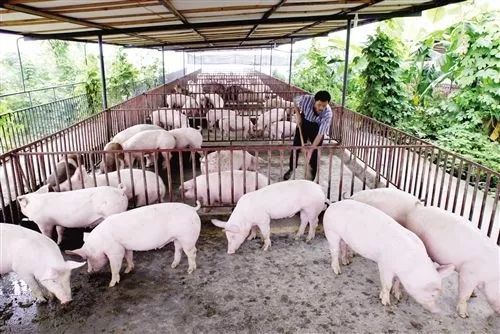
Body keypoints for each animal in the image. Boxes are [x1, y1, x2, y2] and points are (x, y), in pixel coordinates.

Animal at [66, 201, 201, 288]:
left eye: (88, 257)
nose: (89, 272)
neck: (100, 243)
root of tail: (192, 209)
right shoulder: (125, 247)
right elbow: (129, 257)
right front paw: (127, 271)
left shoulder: (115, 250)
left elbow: (114, 266)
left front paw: (111, 284)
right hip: (178, 238)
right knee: (178, 250)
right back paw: (173, 266)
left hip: (187, 236)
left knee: (192, 252)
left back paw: (190, 270)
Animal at [322, 201, 456, 314]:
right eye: (433, 294)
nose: (437, 311)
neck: (410, 267)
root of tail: (333, 205)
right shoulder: (385, 266)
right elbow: (387, 284)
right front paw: (386, 303)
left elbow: (397, 282)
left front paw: (398, 296)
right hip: (331, 232)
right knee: (334, 251)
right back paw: (338, 271)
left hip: (343, 237)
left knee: (343, 246)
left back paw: (346, 262)